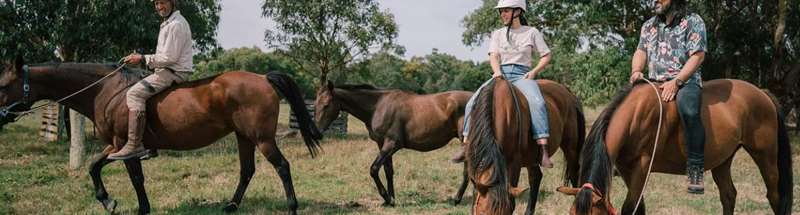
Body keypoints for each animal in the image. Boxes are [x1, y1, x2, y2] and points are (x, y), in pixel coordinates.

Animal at [1, 57, 324, 215]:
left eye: (4, 85)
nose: (0, 115)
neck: (106, 91)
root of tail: (263, 78)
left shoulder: (127, 147)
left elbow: (136, 179)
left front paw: (142, 209)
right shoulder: (115, 145)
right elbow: (93, 167)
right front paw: (107, 201)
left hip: (262, 139)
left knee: (282, 167)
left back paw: (292, 208)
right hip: (244, 138)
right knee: (247, 171)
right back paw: (231, 206)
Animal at [314, 81, 476, 206]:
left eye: (326, 105)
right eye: (316, 104)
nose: (317, 132)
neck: (378, 106)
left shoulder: (392, 144)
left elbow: (374, 169)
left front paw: (387, 197)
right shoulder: (382, 144)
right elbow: (388, 171)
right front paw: (390, 200)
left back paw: (458, 199)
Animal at [462, 76, 588, 214]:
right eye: (482, 212)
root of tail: (568, 93)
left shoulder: (514, 163)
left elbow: (511, 201)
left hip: (571, 148)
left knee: (574, 175)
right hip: (531, 156)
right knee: (536, 177)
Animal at [556, 79, 792, 215]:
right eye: (571, 214)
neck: (636, 117)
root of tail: (762, 93)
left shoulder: (642, 167)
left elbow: (630, 207)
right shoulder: (625, 169)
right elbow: (639, 207)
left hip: (765, 155)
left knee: (775, 196)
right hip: (723, 160)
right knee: (729, 195)